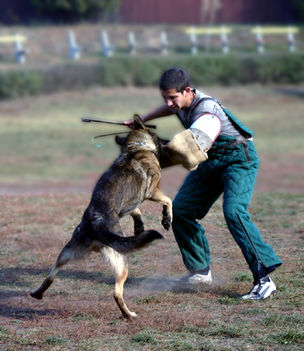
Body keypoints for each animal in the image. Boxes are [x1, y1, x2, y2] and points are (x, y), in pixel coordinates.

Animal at [31, 115, 172, 320]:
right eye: (158, 137)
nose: (168, 142)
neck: (136, 148)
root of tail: (94, 225)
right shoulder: (152, 192)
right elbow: (169, 201)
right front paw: (166, 218)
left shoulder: (128, 205)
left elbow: (136, 211)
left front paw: (139, 226)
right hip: (122, 263)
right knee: (116, 293)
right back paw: (129, 315)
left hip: (67, 253)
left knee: (51, 275)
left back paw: (38, 293)